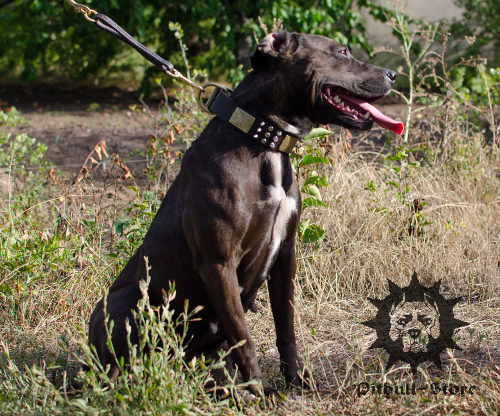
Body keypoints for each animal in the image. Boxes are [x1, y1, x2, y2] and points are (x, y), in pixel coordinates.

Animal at [89, 30, 402, 394]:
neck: (264, 139)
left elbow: (286, 326)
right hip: (124, 301)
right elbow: (243, 337)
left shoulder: (285, 256)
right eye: (341, 52)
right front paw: (257, 390)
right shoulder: (219, 263)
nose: (392, 74)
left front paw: (296, 378)